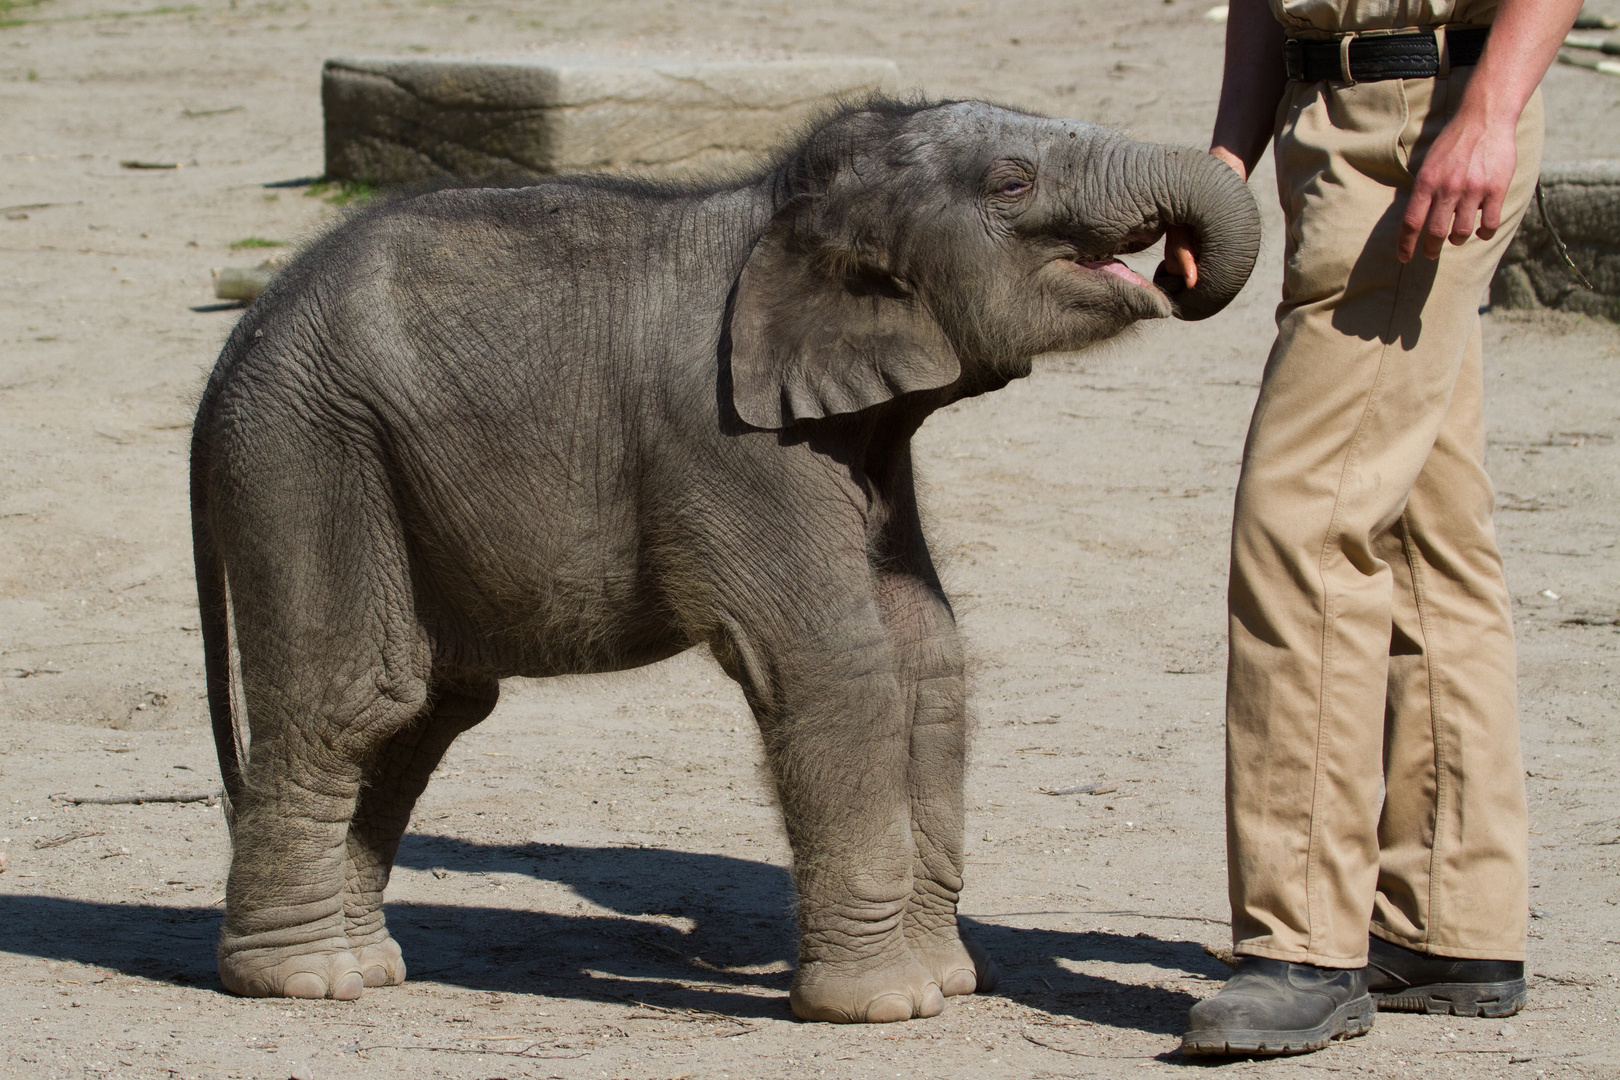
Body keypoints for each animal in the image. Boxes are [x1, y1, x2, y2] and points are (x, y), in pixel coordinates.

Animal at [186, 95, 1250, 1023]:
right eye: (1013, 183)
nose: (1183, 267)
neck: (784, 211)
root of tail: (234, 343)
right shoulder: (727, 439)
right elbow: (839, 666)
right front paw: (889, 1008)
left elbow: (929, 658)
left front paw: (949, 983)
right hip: (309, 451)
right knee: (358, 697)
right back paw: (305, 982)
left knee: (427, 709)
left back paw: (366, 966)